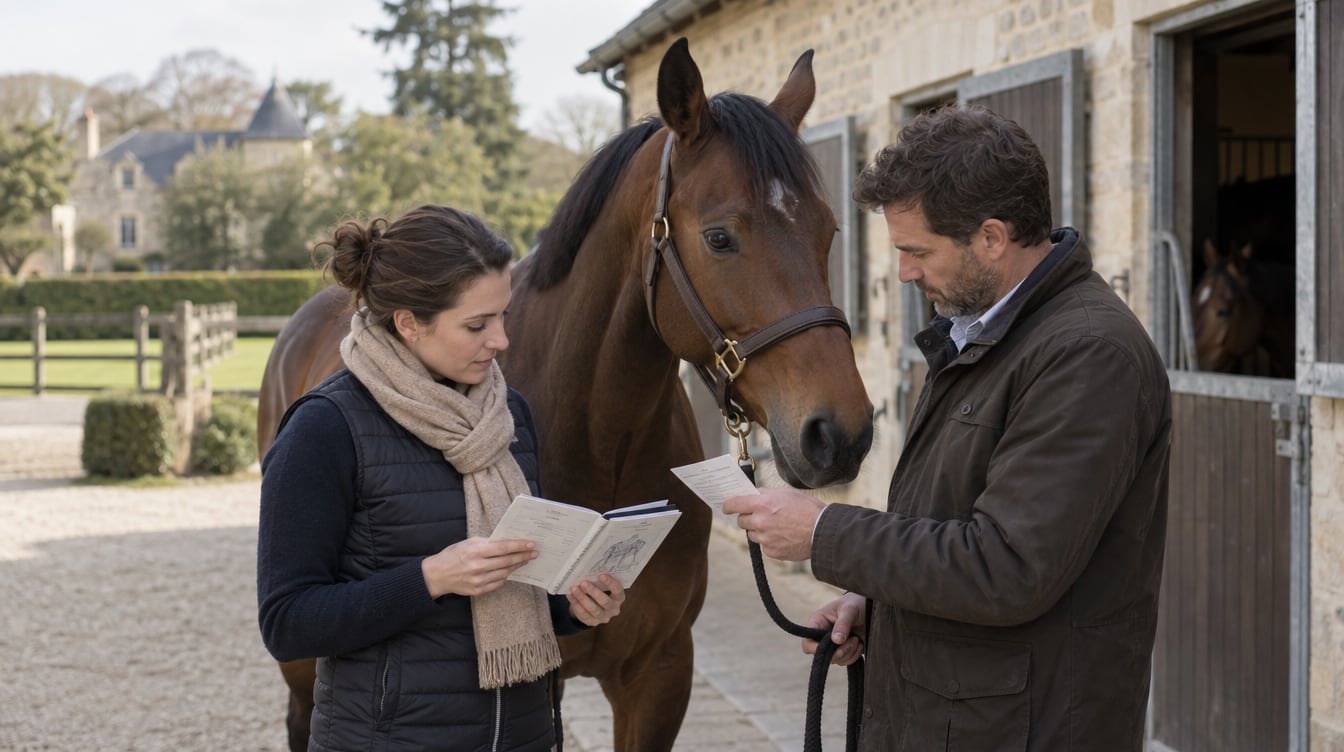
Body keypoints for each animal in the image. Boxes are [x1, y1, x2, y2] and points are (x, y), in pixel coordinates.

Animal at [255, 37, 874, 752]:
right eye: (720, 237)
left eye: (829, 231)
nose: (840, 434)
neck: (598, 436)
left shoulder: (659, 676)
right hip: (303, 666)